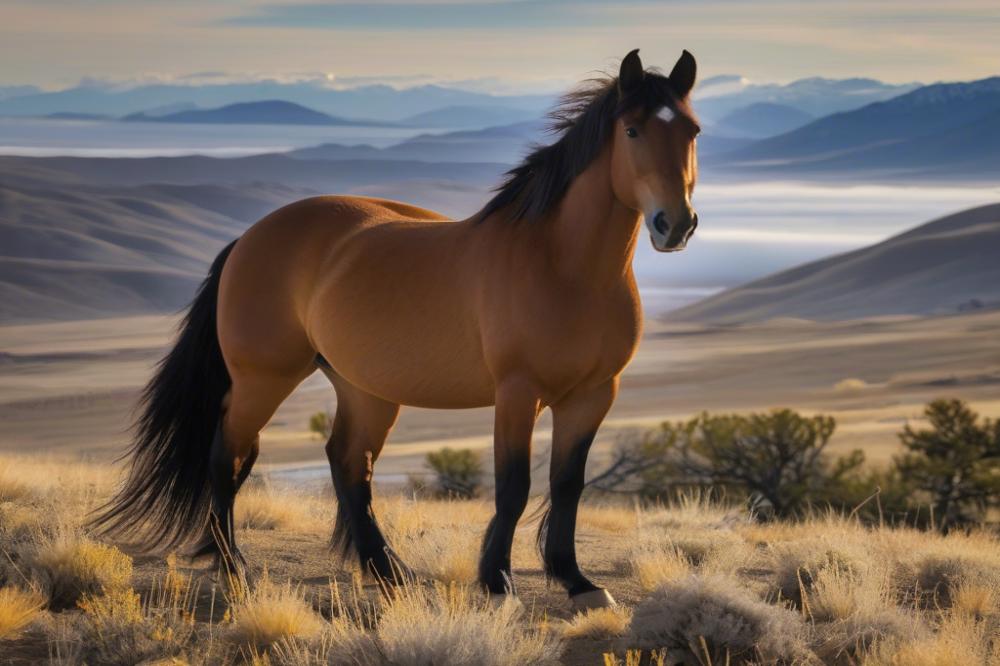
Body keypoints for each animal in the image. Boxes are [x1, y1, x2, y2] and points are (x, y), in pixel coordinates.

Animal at [94, 45, 704, 608]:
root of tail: (249, 237)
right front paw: (497, 582)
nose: (675, 225)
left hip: (364, 389)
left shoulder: (594, 395)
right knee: (230, 456)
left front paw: (578, 582)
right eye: (631, 130)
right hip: (262, 380)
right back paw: (235, 569)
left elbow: (568, 484)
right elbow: (513, 486)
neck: (564, 265)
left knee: (348, 464)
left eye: (692, 130)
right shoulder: (517, 393)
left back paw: (389, 572)